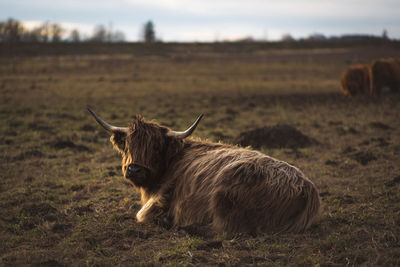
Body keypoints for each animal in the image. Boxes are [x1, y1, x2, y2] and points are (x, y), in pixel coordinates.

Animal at [88, 109, 322, 234]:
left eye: (155, 147)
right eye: (128, 145)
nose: (134, 169)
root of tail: (307, 189)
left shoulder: (159, 200)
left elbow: (140, 215)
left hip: (224, 196)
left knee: (223, 229)